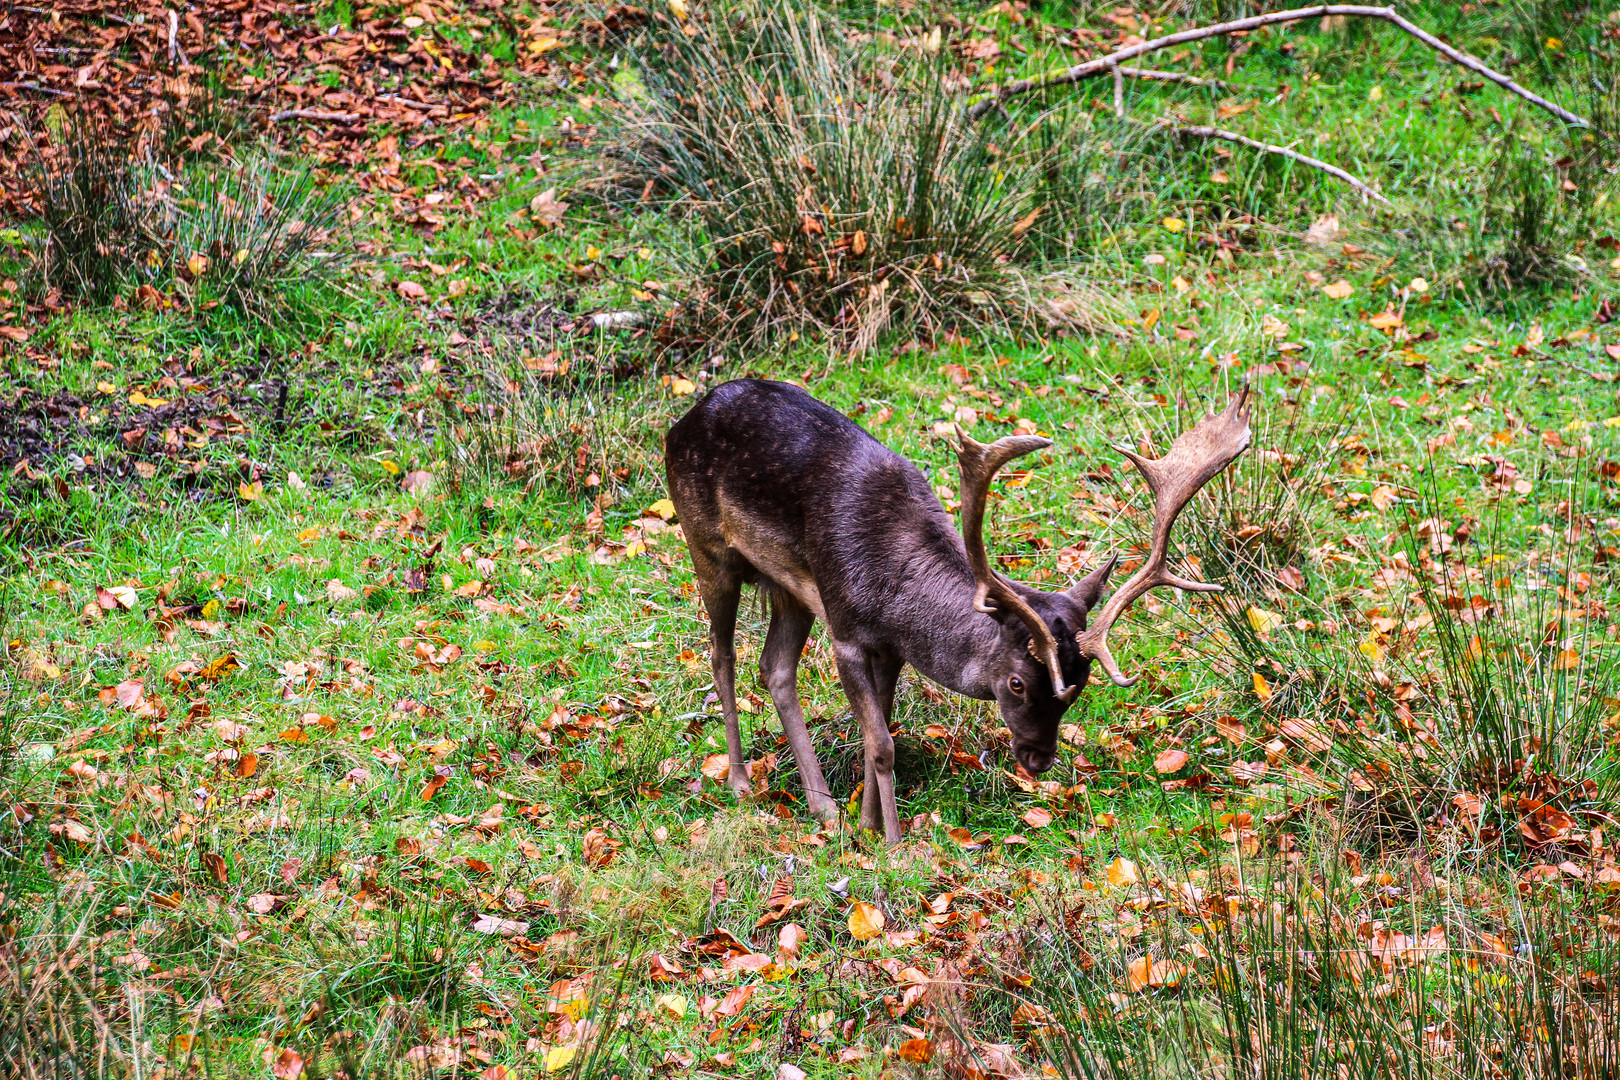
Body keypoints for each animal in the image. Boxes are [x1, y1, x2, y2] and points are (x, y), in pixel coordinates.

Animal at [664, 380, 1244, 841]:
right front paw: (893, 844)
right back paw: (741, 782)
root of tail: (683, 420)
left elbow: (881, 730)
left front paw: (866, 825)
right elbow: (881, 744)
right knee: (722, 657)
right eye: (1016, 682)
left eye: (1078, 685)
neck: (893, 590)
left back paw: (823, 806)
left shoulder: (891, 646)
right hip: (705, 544)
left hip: (790, 588)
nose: (1038, 759)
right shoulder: (847, 629)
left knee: (777, 668)